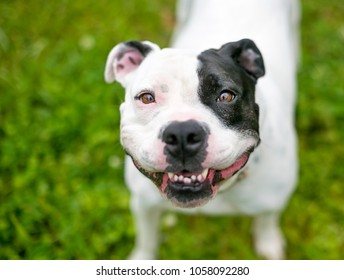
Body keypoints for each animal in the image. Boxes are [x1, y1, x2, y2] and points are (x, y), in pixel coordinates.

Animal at [104, 0, 298, 260]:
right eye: (146, 98)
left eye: (226, 96)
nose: (182, 134)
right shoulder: (143, 204)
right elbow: (147, 239)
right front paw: (142, 257)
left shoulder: (273, 202)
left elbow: (266, 221)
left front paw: (268, 243)